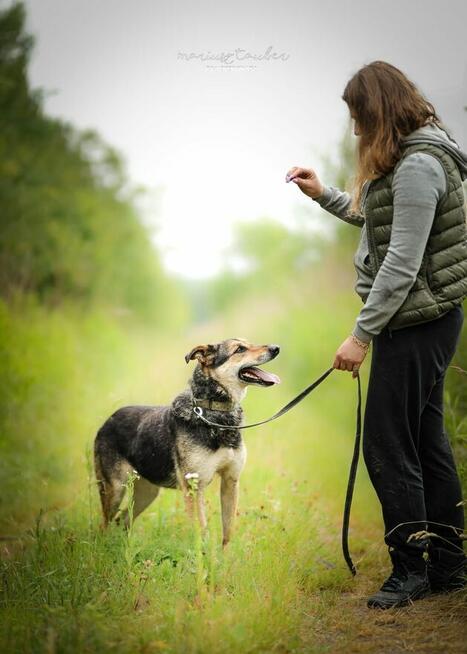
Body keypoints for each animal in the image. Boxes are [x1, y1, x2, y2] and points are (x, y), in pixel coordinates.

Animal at [93, 340, 280, 544]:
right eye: (239, 349)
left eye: (248, 343)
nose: (276, 348)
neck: (214, 412)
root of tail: (107, 421)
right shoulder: (193, 487)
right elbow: (201, 531)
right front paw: (203, 553)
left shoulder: (230, 481)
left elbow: (227, 533)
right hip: (116, 489)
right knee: (104, 524)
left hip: (147, 493)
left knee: (122, 521)